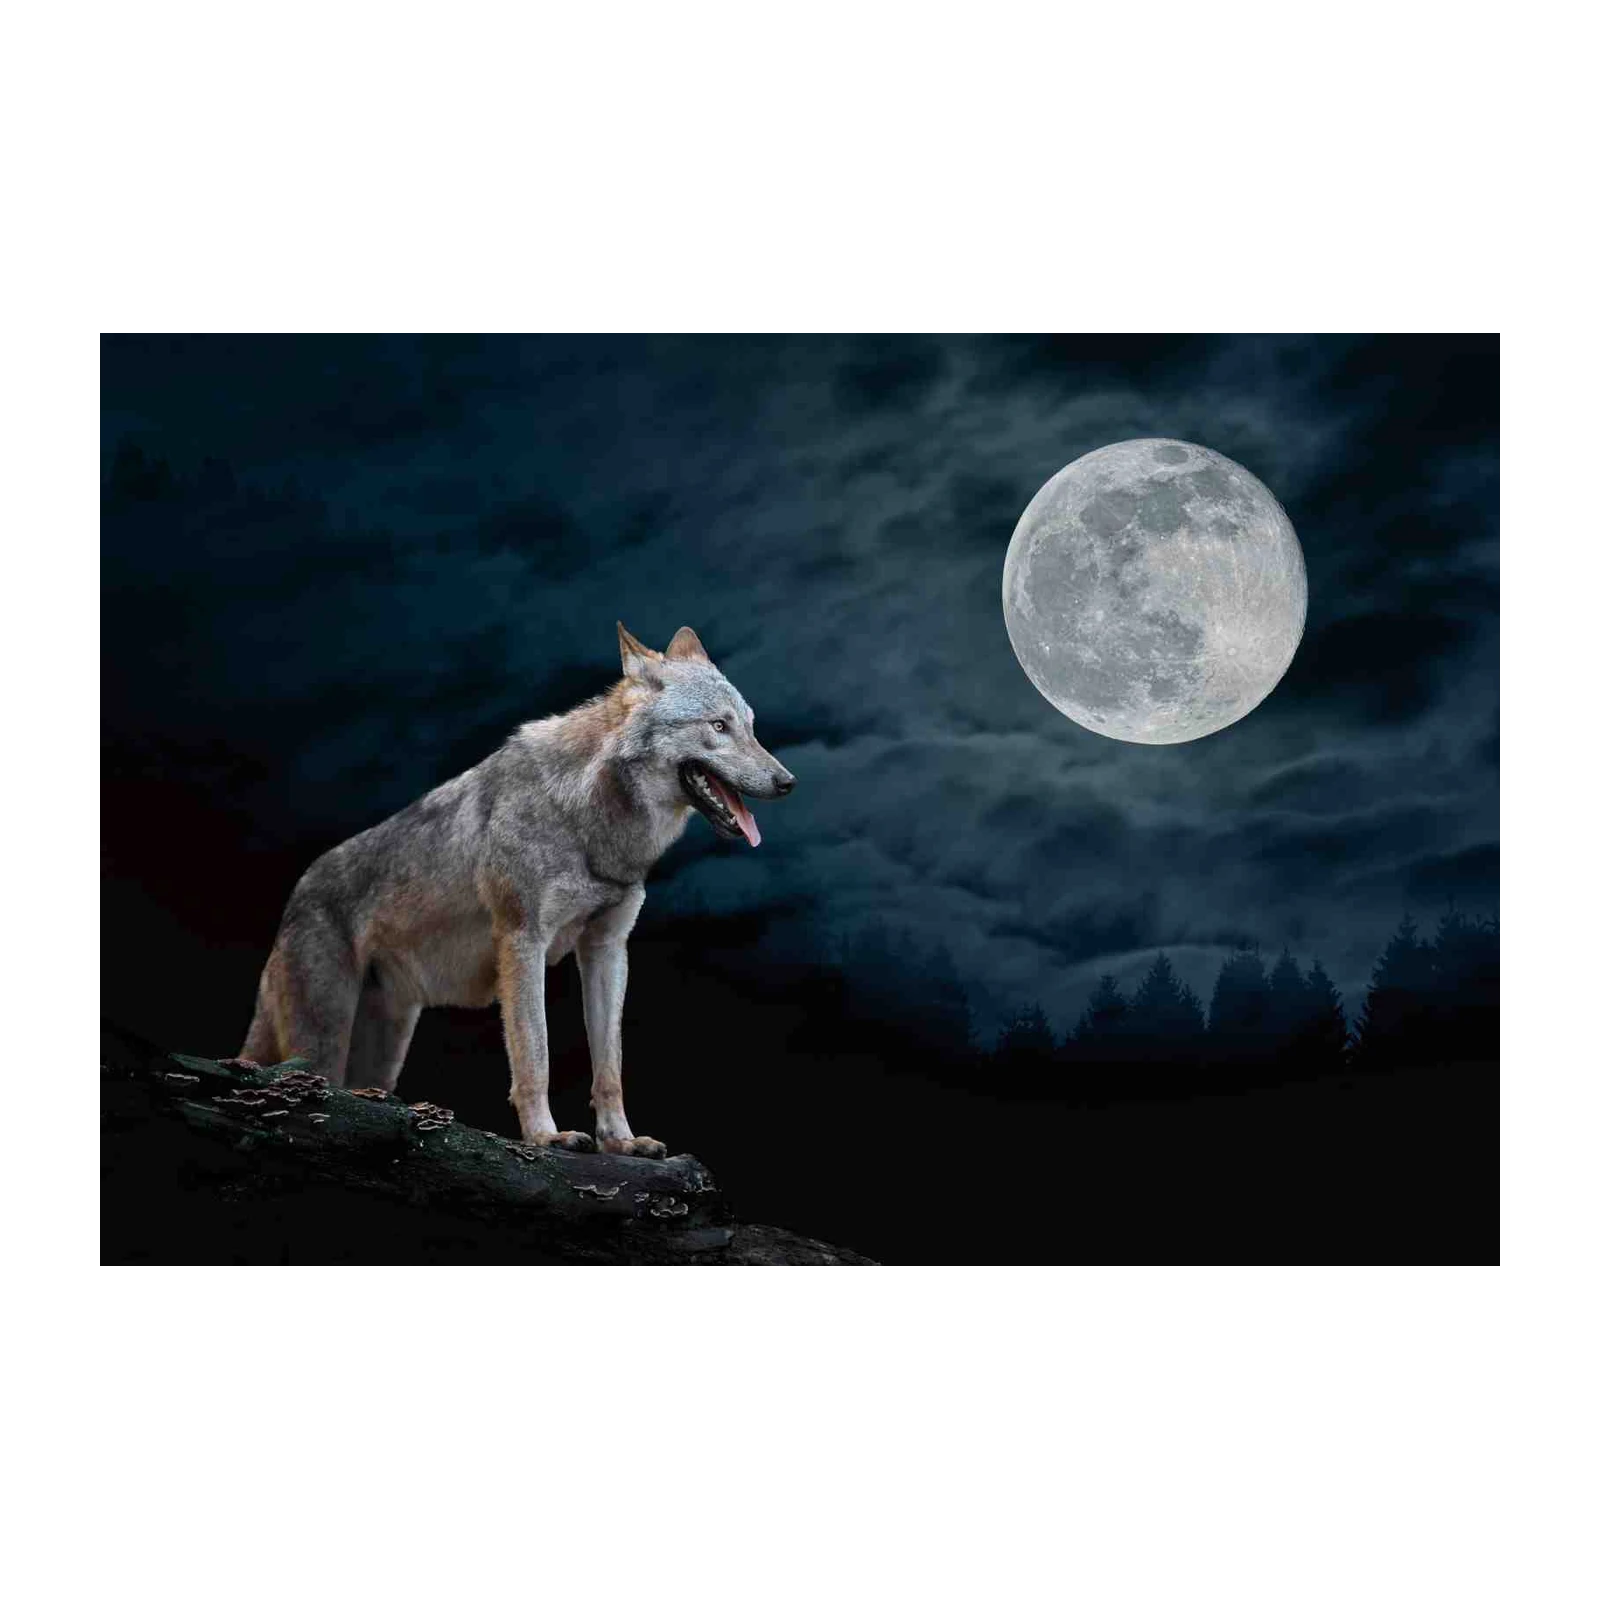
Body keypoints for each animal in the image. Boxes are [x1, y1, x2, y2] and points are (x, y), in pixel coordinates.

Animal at [239, 622, 796, 1157]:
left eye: (750, 727)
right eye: (718, 726)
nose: (787, 782)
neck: (586, 819)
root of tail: (296, 895)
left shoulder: (607, 950)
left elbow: (609, 1066)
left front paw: (620, 1142)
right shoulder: (523, 943)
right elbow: (536, 1055)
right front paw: (546, 1137)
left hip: (381, 1054)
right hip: (323, 1047)